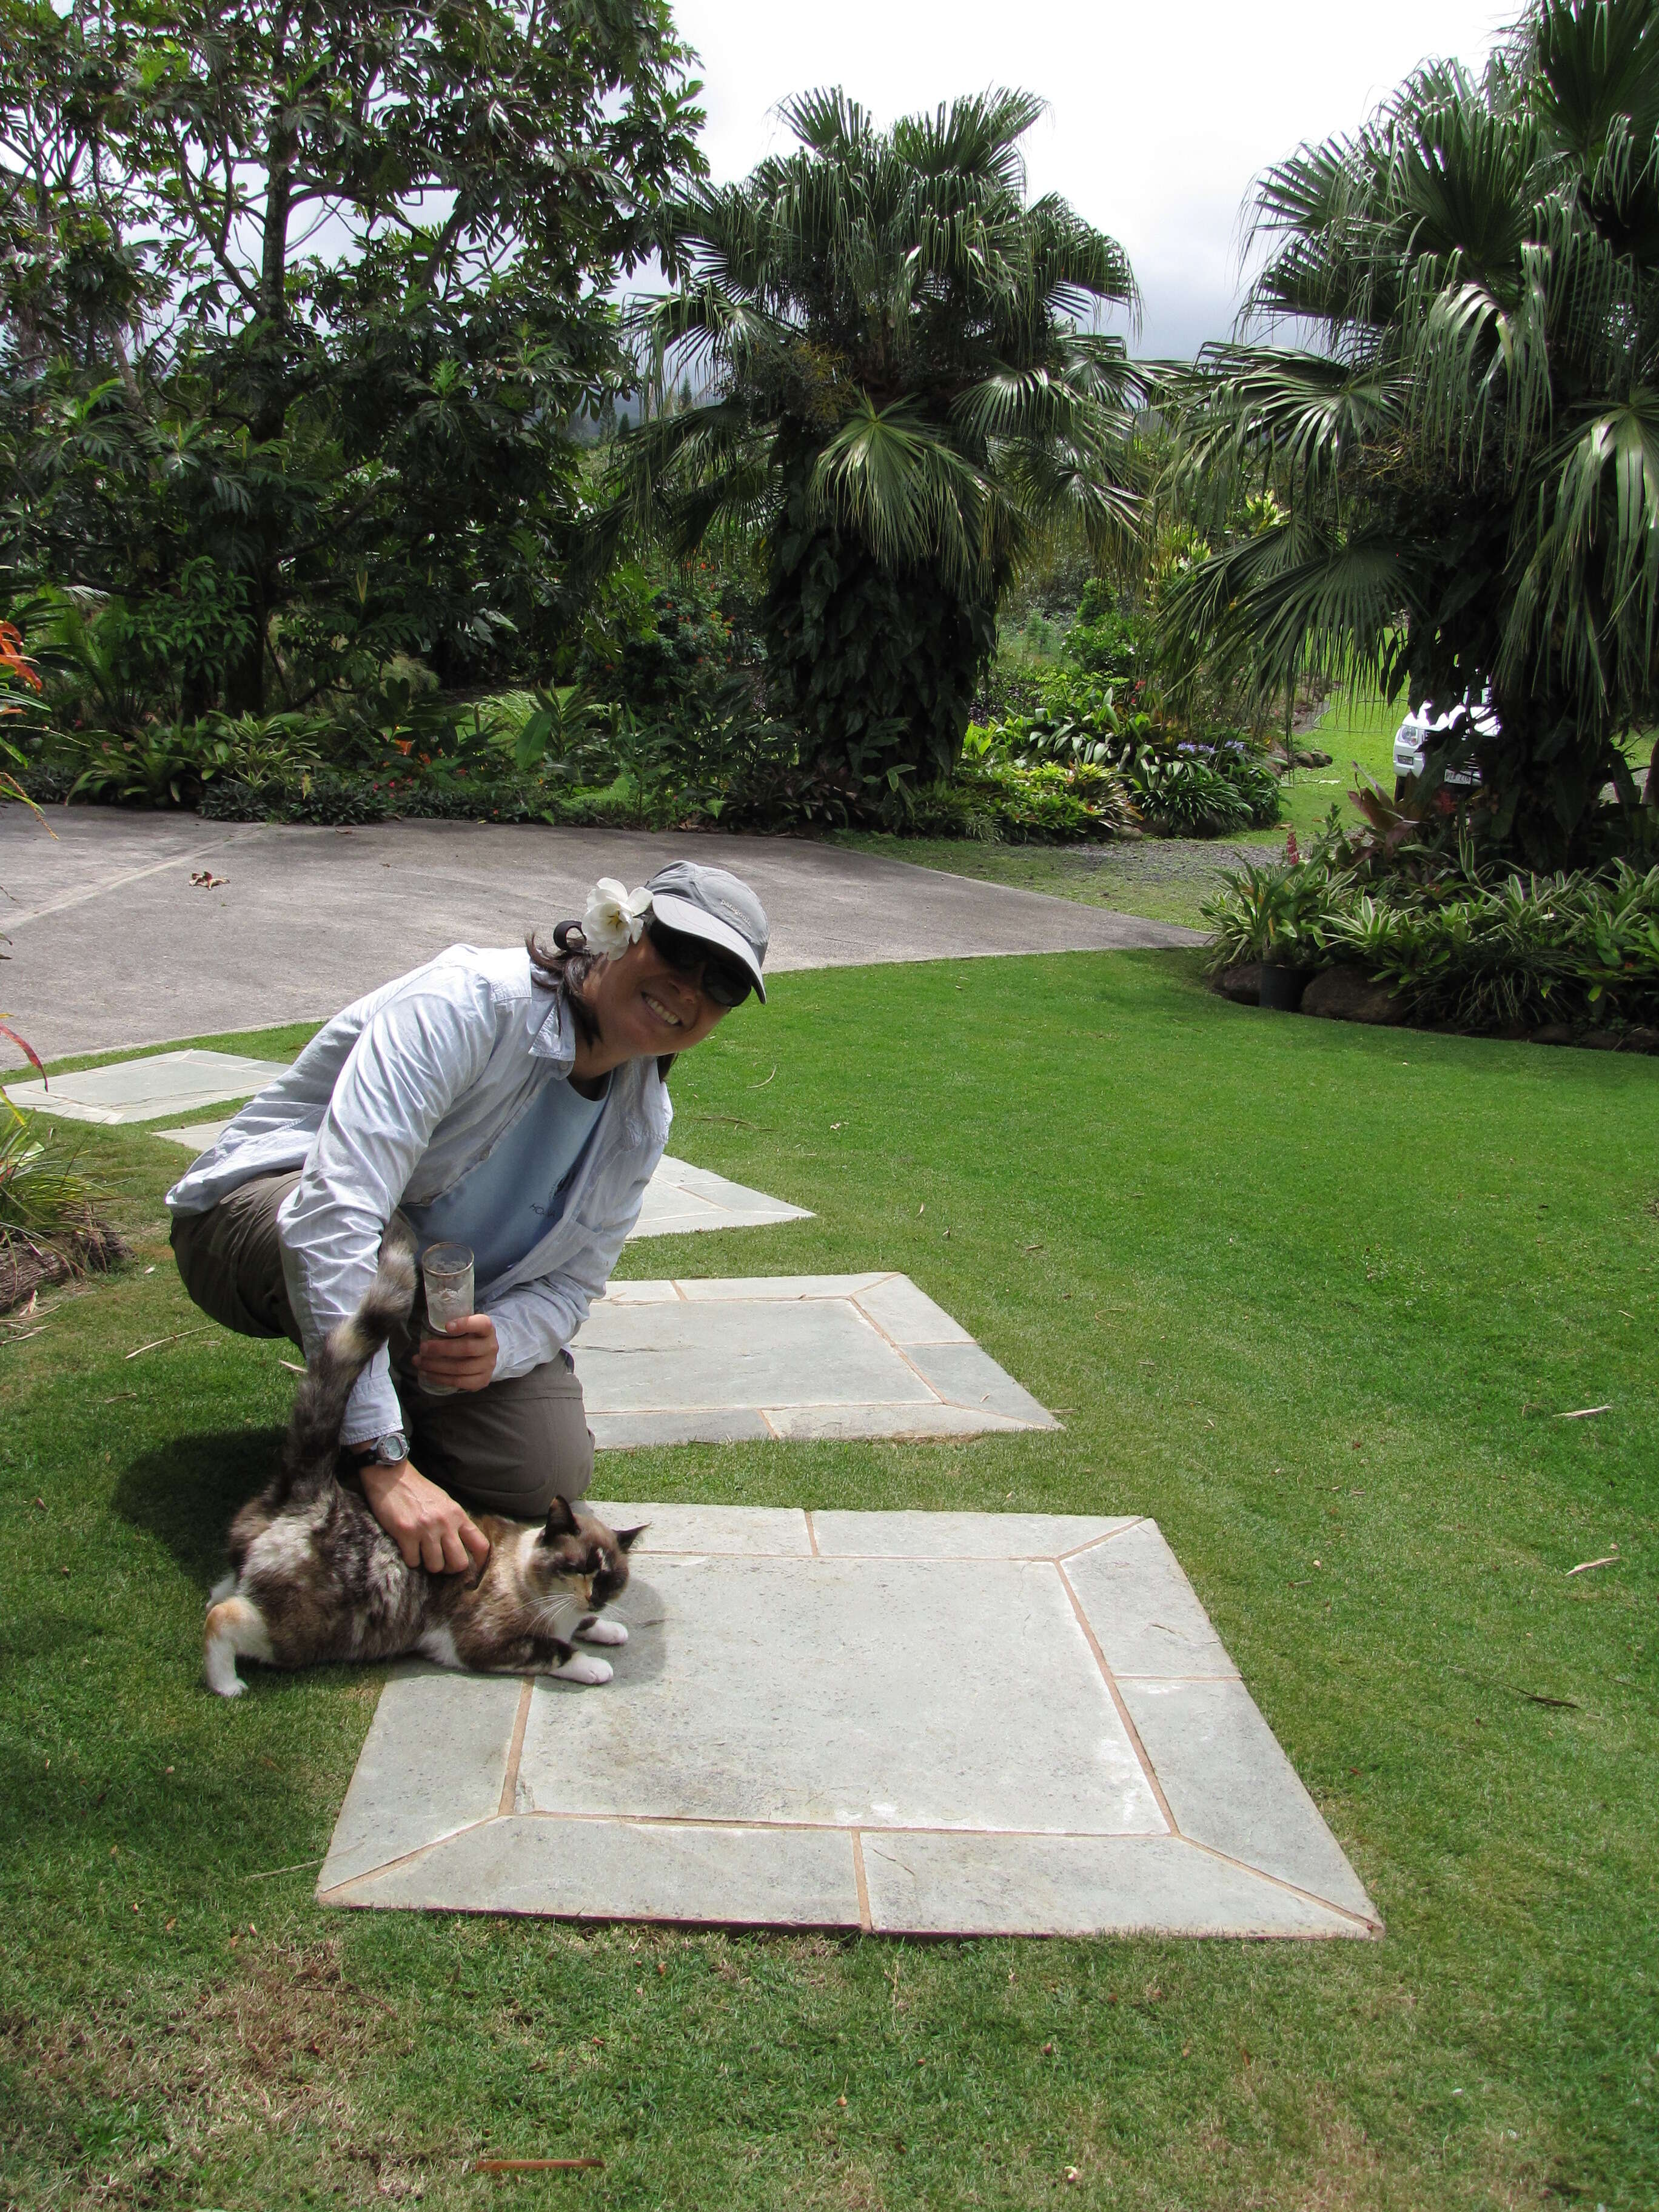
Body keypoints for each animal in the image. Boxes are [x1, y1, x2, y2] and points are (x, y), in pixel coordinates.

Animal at [204, 1221, 646, 1698]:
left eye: (610, 1579)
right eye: (578, 1568)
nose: (595, 1598)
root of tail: (314, 1493)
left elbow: (584, 1628)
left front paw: (606, 1627)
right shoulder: (483, 1641)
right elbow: (556, 1651)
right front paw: (594, 1664)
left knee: (220, 1592)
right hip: (306, 1630)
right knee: (222, 1619)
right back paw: (228, 1685)